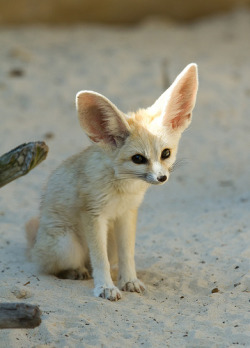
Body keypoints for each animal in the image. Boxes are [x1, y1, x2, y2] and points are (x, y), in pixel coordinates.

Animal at [26, 64, 198, 300]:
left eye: (166, 153)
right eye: (138, 159)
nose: (161, 178)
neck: (123, 188)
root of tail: (35, 244)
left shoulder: (126, 214)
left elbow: (128, 255)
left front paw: (129, 281)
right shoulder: (93, 215)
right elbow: (100, 260)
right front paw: (105, 287)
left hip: (109, 244)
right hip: (67, 245)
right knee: (54, 267)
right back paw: (75, 271)